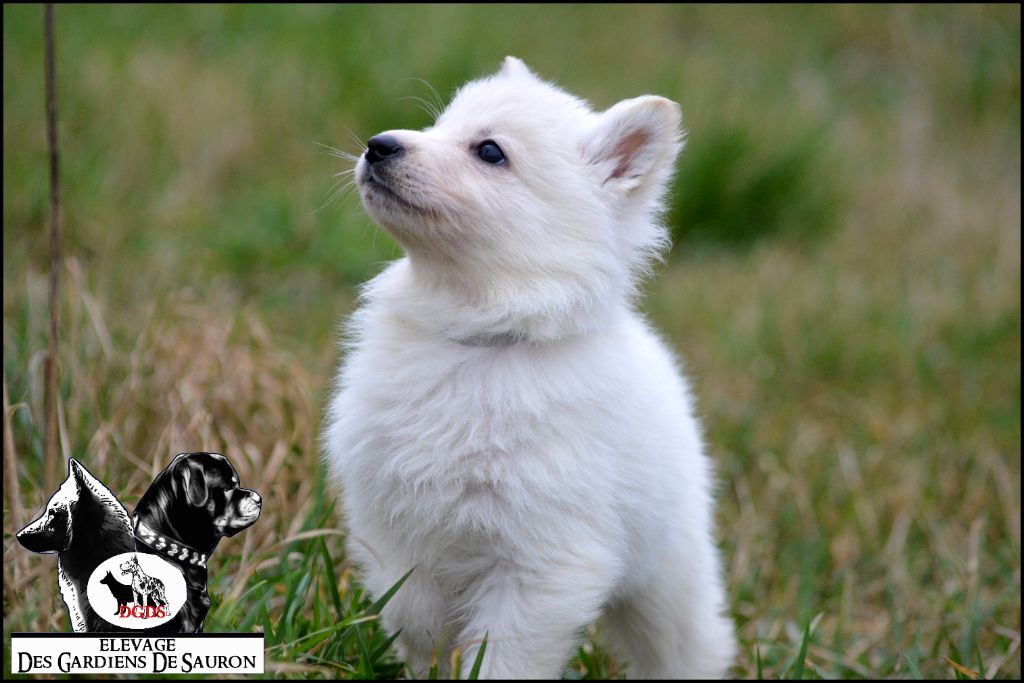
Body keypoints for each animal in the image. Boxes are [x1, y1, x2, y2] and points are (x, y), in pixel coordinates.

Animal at [323, 57, 736, 678]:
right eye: (438, 125)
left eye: (490, 152)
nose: (379, 144)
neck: (478, 340)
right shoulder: (394, 526)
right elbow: (416, 620)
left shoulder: (543, 561)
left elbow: (501, 656)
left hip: (668, 574)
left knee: (684, 644)